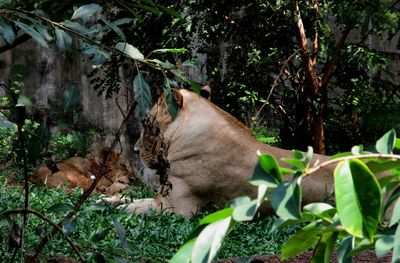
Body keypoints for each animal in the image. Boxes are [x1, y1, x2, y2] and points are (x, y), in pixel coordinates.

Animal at [103, 87, 338, 218]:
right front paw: (105, 200)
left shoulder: (174, 208)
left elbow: (132, 207)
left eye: (146, 123)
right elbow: (128, 199)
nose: (134, 150)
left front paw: (111, 207)